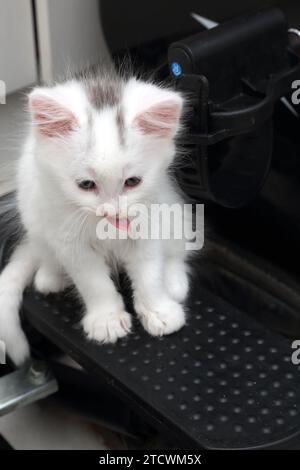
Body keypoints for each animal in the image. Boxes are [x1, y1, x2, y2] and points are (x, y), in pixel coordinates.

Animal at [0, 71, 192, 366]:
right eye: (86, 185)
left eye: (132, 182)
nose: (112, 212)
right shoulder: (68, 239)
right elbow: (93, 282)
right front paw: (107, 320)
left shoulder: (147, 223)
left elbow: (150, 273)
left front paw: (158, 310)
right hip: (34, 216)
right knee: (45, 256)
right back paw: (51, 277)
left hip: (174, 214)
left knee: (175, 252)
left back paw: (174, 282)